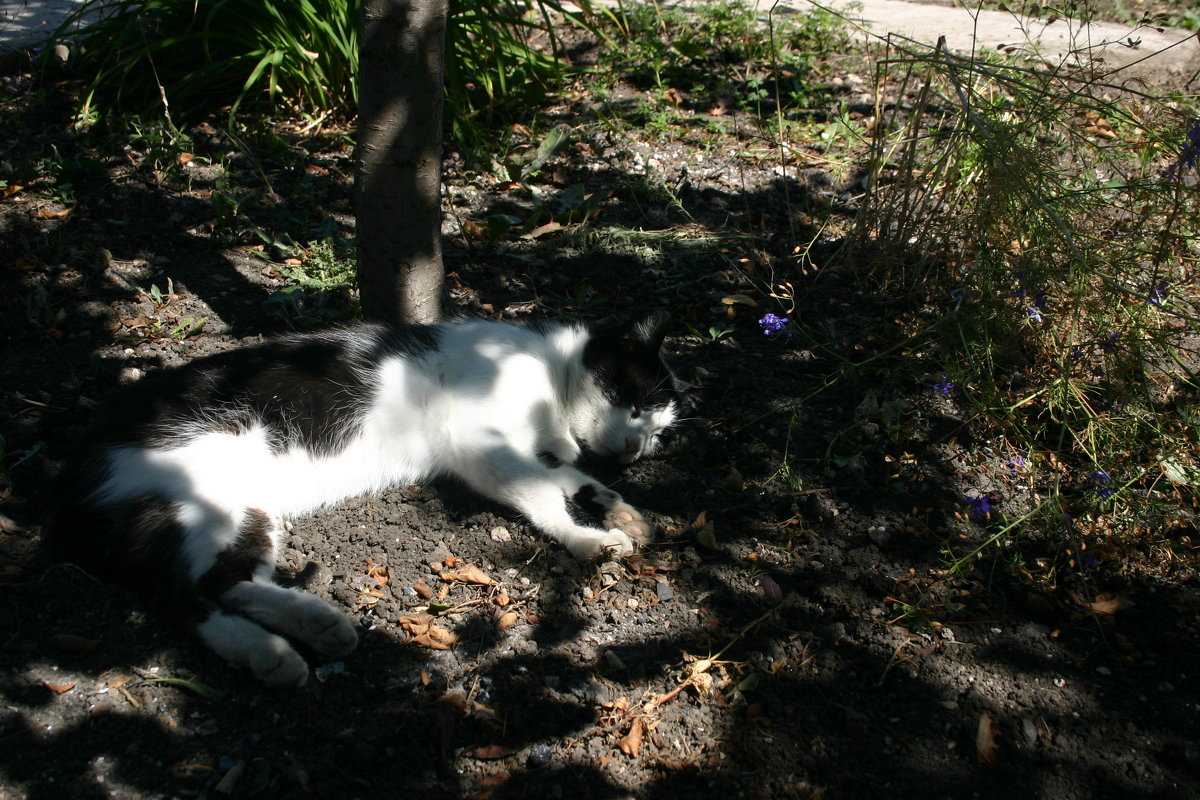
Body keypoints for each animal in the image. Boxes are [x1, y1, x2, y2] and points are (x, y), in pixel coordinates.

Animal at [49, 311, 686, 690]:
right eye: (635, 403)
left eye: (660, 432)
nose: (638, 450)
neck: (550, 386)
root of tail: (75, 466)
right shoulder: (480, 444)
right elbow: (543, 494)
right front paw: (589, 541)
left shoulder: (525, 452)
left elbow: (572, 478)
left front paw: (622, 509)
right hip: (203, 503)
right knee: (178, 597)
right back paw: (270, 654)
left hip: (249, 512)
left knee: (225, 583)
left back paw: (315, 628)